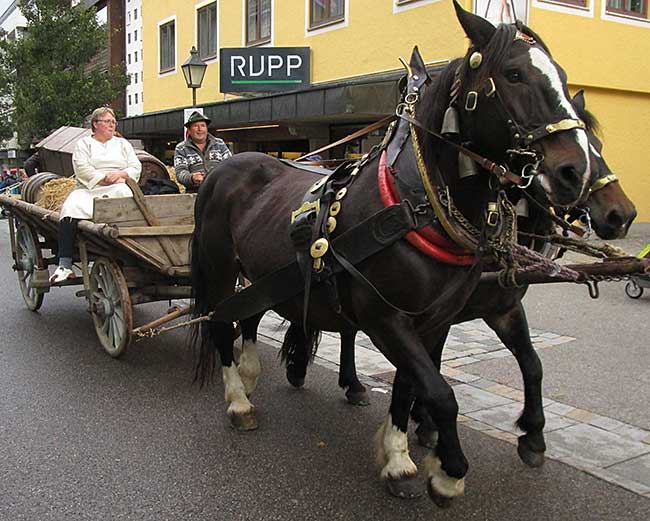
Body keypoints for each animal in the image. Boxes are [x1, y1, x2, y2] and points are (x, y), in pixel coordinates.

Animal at [187, 0, 592, 504]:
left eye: (562, 75)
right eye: (514, 74)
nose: (575, 171)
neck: (414, 205)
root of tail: (224, 167)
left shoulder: (433, 321)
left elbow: (411, 385)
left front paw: (400, 456)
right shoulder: (386, 319)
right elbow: (440, 393)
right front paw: (448, 470)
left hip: (264, 275)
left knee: (250, 315)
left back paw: (250, 372)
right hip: (221, 269)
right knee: (221, 323)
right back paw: (239, 401)